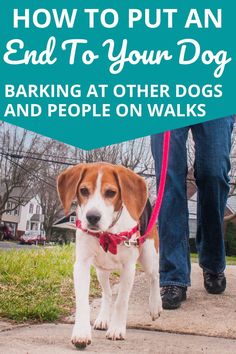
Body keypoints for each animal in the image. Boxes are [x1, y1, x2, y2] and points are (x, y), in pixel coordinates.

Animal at [57, 162, 161, 348]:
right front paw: (81, 332)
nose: (92, 217)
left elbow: (121, 301)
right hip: (101, 270)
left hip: (149, 256)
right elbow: (83, 301)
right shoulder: (82, 264)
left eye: (111, 193)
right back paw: (103, 318)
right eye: (84, 190)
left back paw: (156, 305)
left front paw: (117, 329)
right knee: (107, 293)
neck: (108, 233)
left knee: (155, 277)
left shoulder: (129, 268)